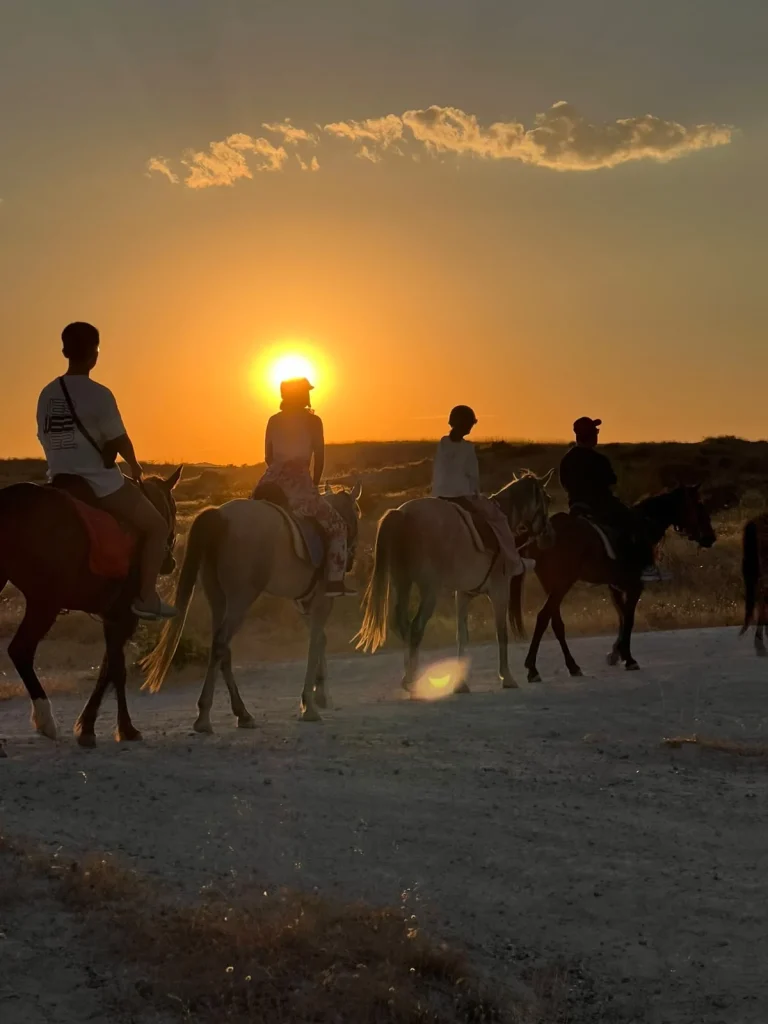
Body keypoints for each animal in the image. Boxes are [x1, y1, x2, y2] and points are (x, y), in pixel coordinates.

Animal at [0, 470, 181, 746]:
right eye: (173, 509)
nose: (169, 563)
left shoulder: (111, 616)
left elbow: (108, 667)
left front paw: (88, 726)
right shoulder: (122, 616)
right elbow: (116, 670)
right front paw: (125, 728)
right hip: (45, 602)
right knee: (20, 650)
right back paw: (45, 720)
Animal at [140, 482, 362, 726]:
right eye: (358, 513)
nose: (351, 560)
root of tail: (220, 516)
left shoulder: (304, 603)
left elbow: (320, 639)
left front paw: (320, 695)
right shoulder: (323, 600)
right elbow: (315, 644)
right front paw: (310, 706)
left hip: (217, 596)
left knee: (221, 646)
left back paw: (241, 712)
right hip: (241, 598)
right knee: (221, 643)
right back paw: (204, 717)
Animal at [356, 472, 555, 691]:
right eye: (547, 499)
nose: (549, 536)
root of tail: (403, 514)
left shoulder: (463, 595)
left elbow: (462, 636)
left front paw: (461, 683)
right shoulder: (500, 591)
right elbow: (501, 633)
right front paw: (507, 678)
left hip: (402, 583)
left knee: (401, 625)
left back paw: (410, 673)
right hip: (429, 590)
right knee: (416, 628)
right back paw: (412, 678)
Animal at [514, 485, 716, 682]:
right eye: (699, 505)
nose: (711, 537)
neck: (643, 526)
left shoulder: (615, 586)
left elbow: (621, 616)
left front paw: (615, 653)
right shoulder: (635, 586)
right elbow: (629, 618)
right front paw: (628, 658)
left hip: (551, 584)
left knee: (555, 622)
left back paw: (572, 666)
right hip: (562, 583)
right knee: (543, 617)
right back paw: (532, 669)